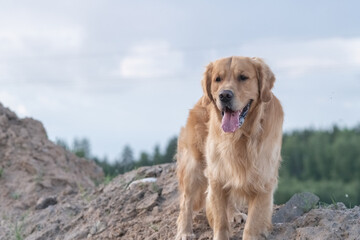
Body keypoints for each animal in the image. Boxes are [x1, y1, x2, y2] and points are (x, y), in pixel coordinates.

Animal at [176, 56, 284, 240]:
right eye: (217, 79)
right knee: (186, 200)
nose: (224, 95)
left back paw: (234, 213)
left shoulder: (263, 180)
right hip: (194, 164)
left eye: (243, 77)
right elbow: (220, 219)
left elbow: (253, 222)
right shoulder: (216, 175)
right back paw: (184, 231)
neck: (240, 136)